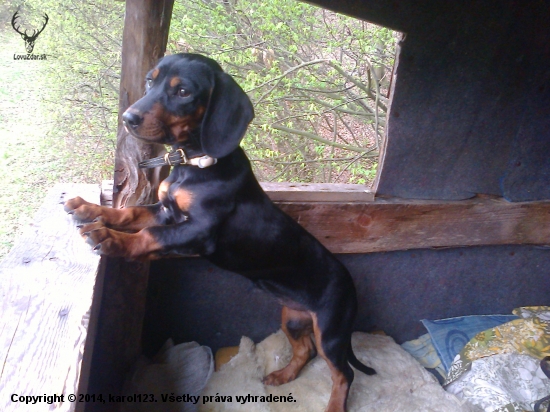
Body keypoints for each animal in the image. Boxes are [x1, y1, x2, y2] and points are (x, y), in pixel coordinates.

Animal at [63, 54, 376, 412]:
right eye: (150, 81)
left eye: (183, 91)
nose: (128, 118)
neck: (195, 164)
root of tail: (350, 286)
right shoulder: (165, 211)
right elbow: (129, 213)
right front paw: (89, 209)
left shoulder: (199, 230)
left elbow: (149, 234)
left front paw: (109, 238)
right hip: (294, 318)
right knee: (305, 349)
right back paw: (282, 376)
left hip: (331, 330)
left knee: (344, 373)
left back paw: (333, 404)